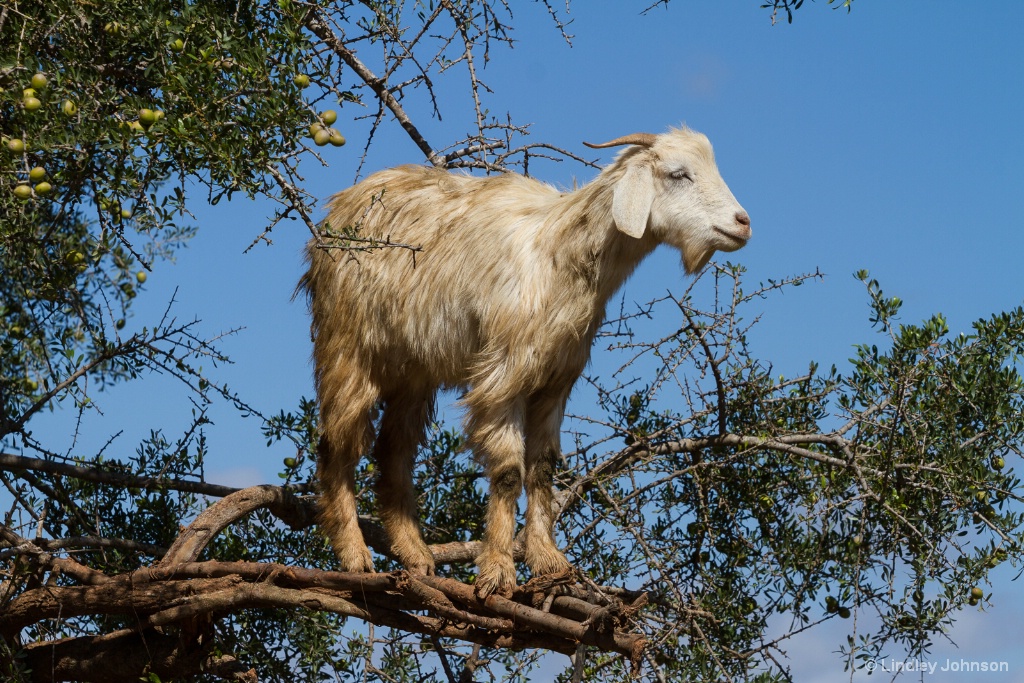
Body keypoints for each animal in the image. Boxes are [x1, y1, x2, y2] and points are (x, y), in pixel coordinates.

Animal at [301, 127, 753, 598]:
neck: (559, 255)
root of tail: (339, 209)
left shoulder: (555, 381)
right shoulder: (504, 375)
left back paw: (416, 555)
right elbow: (507, 472)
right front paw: (498, 571)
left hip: (414, 370)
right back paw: (354, 554)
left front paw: (550, 562)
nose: (743, 223)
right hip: (348, 346)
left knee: (393, 450)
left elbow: (541, 470)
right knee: (337, 443)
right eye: (679, 174)